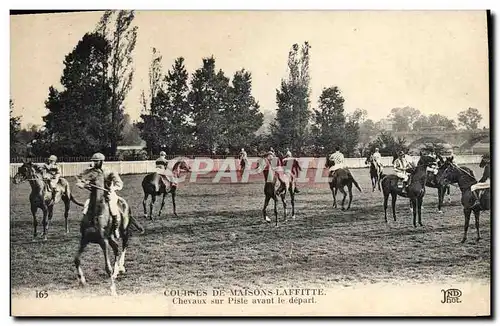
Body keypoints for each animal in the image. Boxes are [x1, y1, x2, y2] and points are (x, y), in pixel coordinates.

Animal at [73, 167, 145, 296]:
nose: (78, 179)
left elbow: (108, 267)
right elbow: (76, 259)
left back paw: (120, 268)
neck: (95, 213)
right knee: (116, 248)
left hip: (124, 231)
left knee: (124, 246)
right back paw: (116, 273)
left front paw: (113, 289)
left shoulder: (103, 241)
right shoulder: (84, 239)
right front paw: (82, 280)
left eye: (91, 173)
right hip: (111, 237)